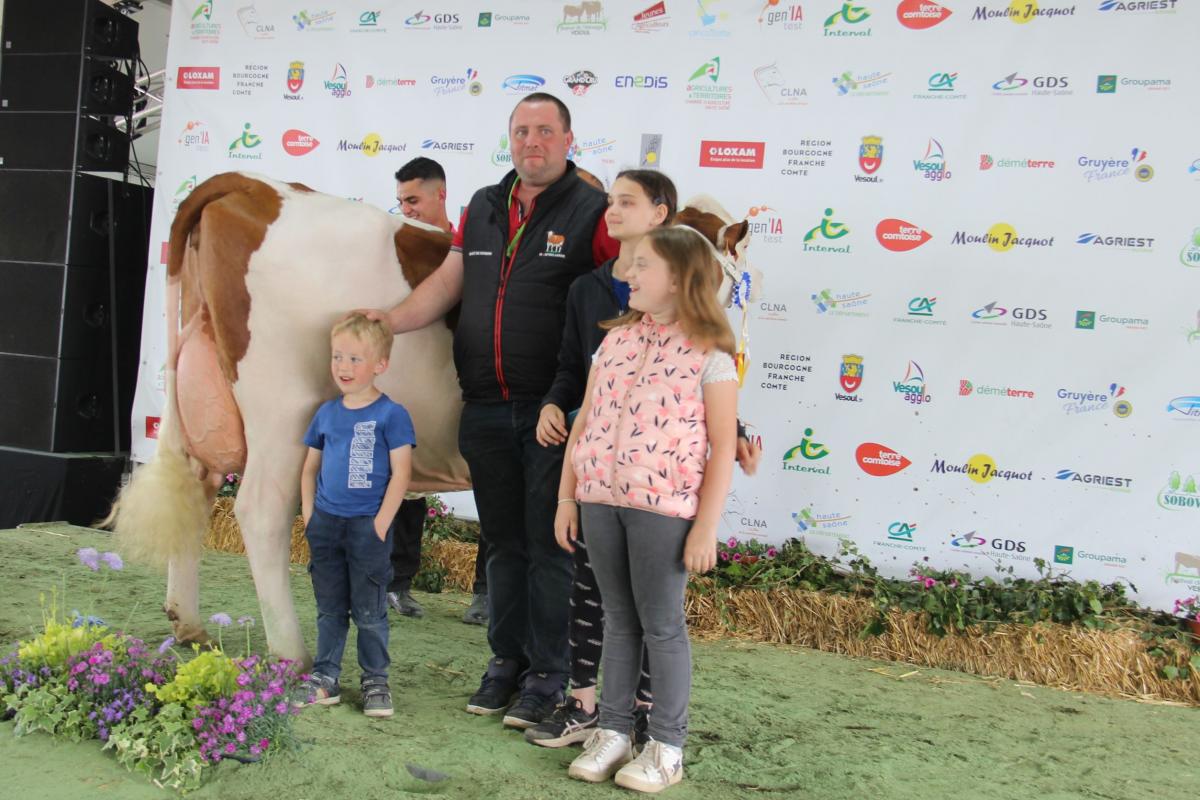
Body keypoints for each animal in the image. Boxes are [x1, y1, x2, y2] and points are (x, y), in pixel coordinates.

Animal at [105, 172, 758, 666]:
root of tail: (252, 185)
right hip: (281, 408)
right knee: (259, 511)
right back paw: (291, 650)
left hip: (199, 396)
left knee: (194, 492)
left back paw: (187, 622)